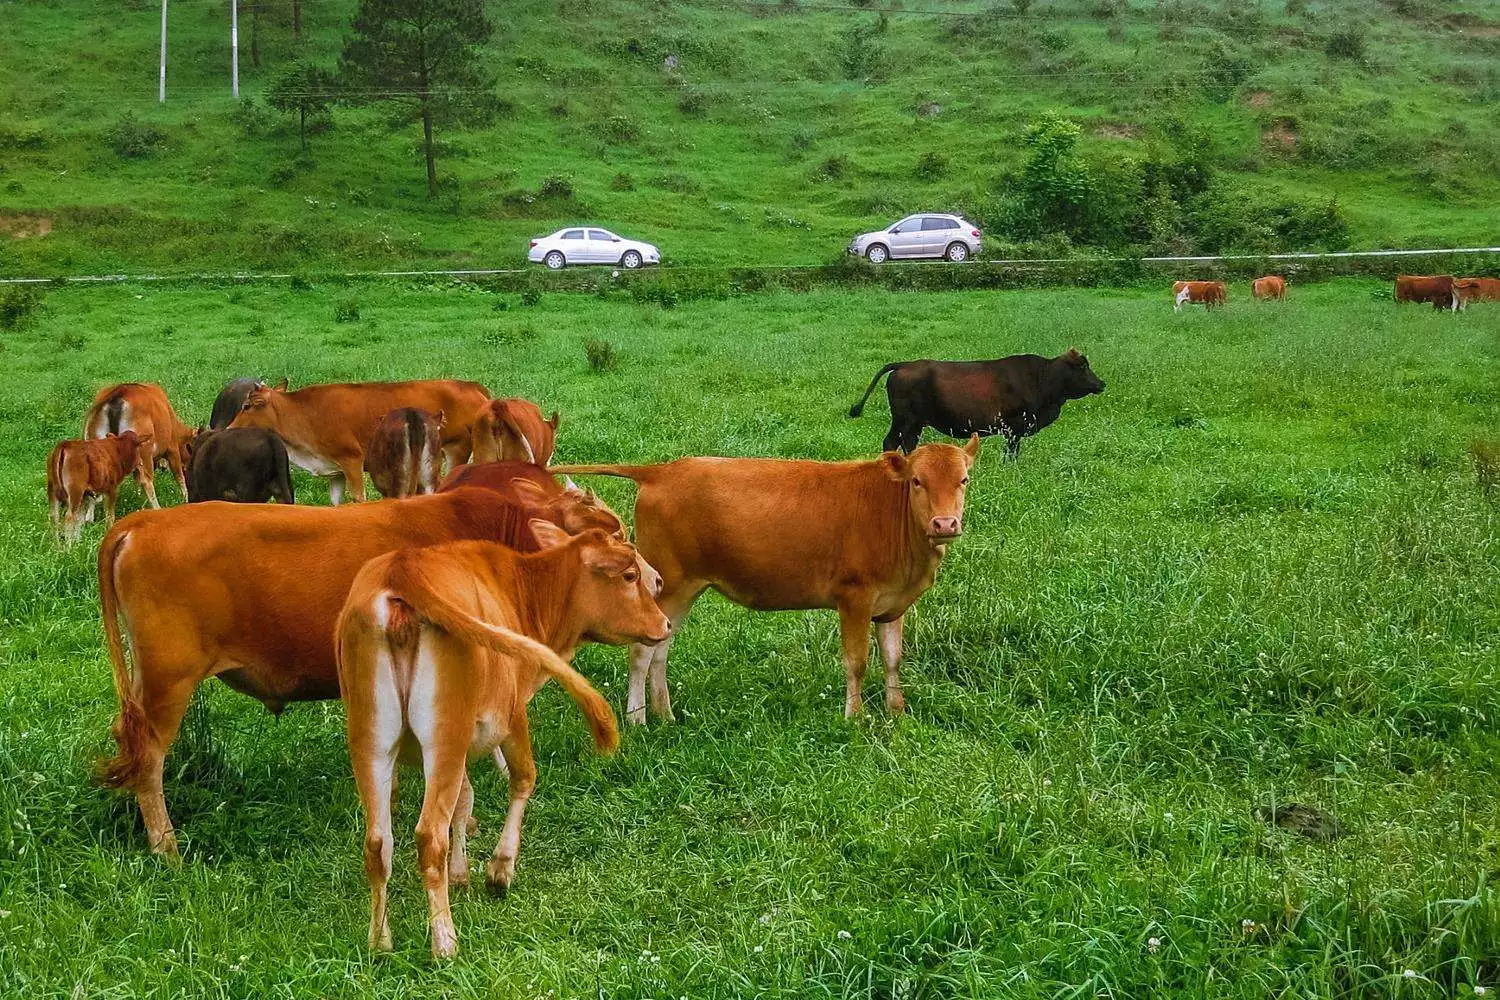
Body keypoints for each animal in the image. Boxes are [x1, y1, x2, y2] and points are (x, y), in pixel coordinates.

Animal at [229, 379, 492, 503]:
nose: (229, 428)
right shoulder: (335, 471)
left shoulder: (352, 460)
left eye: (247, 406)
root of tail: (470, 386)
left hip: (457, 449)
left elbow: (358, 498)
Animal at [340, 527, 669, 959]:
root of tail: (402, 568)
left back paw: (379, 943)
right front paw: (500, 868)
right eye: (630, 576)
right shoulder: (512, 717)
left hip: (372, 739)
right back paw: (444, 942)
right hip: (443, 735)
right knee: (428, 835)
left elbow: (465, 800)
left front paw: (460, 873)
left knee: (379, 843)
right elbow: (524, 779)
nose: (665, 622)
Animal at [558, 437, 978, 728]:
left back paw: (665, 714)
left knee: (661, 649)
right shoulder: (854, 597)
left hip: (682, 590)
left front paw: (897, 713)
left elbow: (892, 659)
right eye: (917, 481)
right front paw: (855, 718)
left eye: (963, 479)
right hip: (668, 585)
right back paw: (638, 719)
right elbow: (856, 662)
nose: (945, 523)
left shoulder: (892, 606)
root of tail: (662, 470)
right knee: (641, 652)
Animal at [852, 347, 1110, 458]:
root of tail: (905, 364)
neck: (1042, 378)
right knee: (890, 442)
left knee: (908, 443)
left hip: (915, 423)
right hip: (903, 419)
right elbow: (1012, 452)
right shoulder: (1015, 425)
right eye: (1083, 366)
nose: (1102, 383)